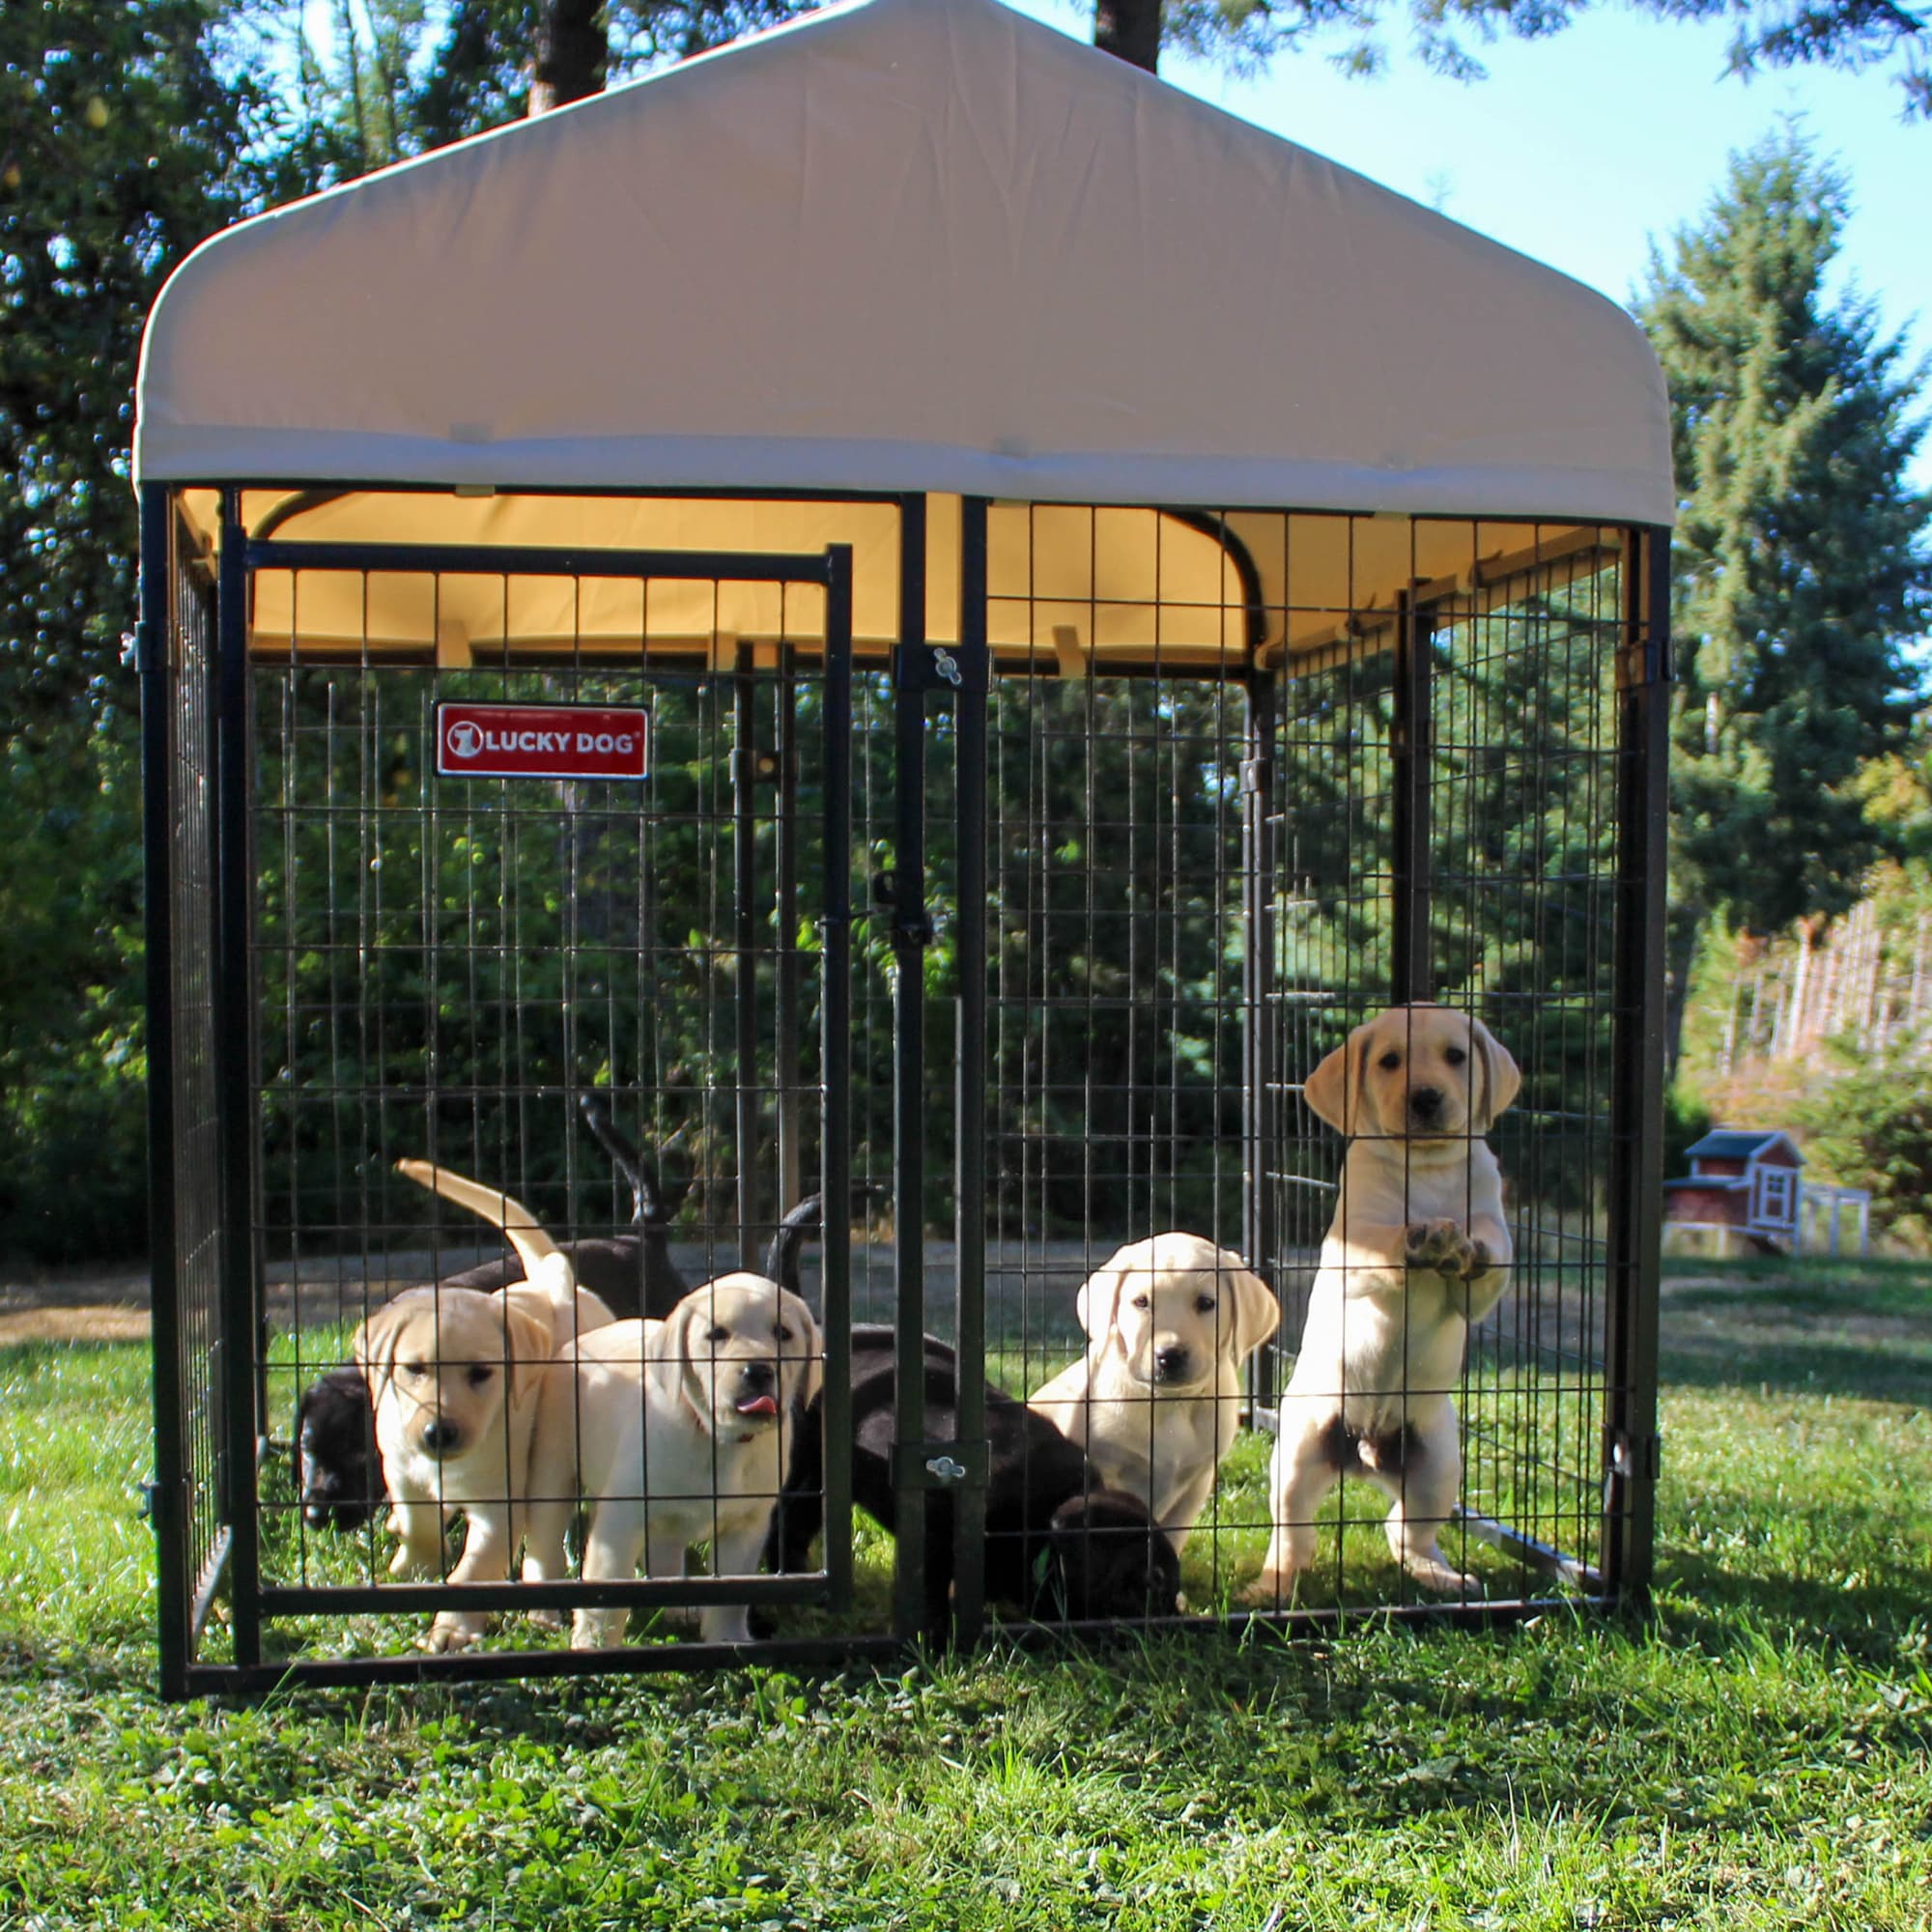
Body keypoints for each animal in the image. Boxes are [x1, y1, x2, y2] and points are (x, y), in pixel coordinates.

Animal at [350, 1151, 611, 1654]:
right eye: (414, 1369)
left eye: (481, 1374)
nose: (438, 1433)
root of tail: (554, 1286)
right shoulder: (401, 1469)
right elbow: (419, 1523)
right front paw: (413, 1568)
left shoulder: (500, 1502)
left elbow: (473, 1569)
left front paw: (451, 1628)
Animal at [522, 1267, 823, 1646]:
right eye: (716, 1334)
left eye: (784, 1333)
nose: (757, 1370)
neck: (714, 1436)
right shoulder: (621, 1518)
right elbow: (606, 1595)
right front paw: (593, 1644)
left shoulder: (746, 1525)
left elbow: (731, 1598)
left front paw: (728, 1640)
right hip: (553, 1469)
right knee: (543, 1547)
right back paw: (543, 1616)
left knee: (664, 1553)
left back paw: (680, 1610)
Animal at [765, 1329, 1175, 1631]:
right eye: (1152, 1577)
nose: (1171, 1615)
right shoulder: (937, 1518)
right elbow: (929, 1580)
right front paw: (932, 1636)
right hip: (804, 1461)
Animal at [1028, 1236, 1283, 1553]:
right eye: (1141, 1302)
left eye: (1206, 1303)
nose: (1169, 1355)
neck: (1168, 1403)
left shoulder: (1197, 1482)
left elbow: (1172, 1539)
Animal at [1252, 997, 1522, 1600]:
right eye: (1389, 1061)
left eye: (1456, 1056)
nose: (1426, 1097)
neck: (1426, 1169)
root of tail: (1366, 1455)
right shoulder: (1350, 1244)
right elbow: (1382, 1243)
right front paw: (1419, 1239)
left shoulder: (1488, 1247)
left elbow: (1492, 1246)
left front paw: (1462, 1242)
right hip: (1297, 1454)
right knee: (1294, 1535)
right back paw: (1273, 1583)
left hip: (1437, 1466)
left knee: (1405, 1533)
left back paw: (1442, 1576)